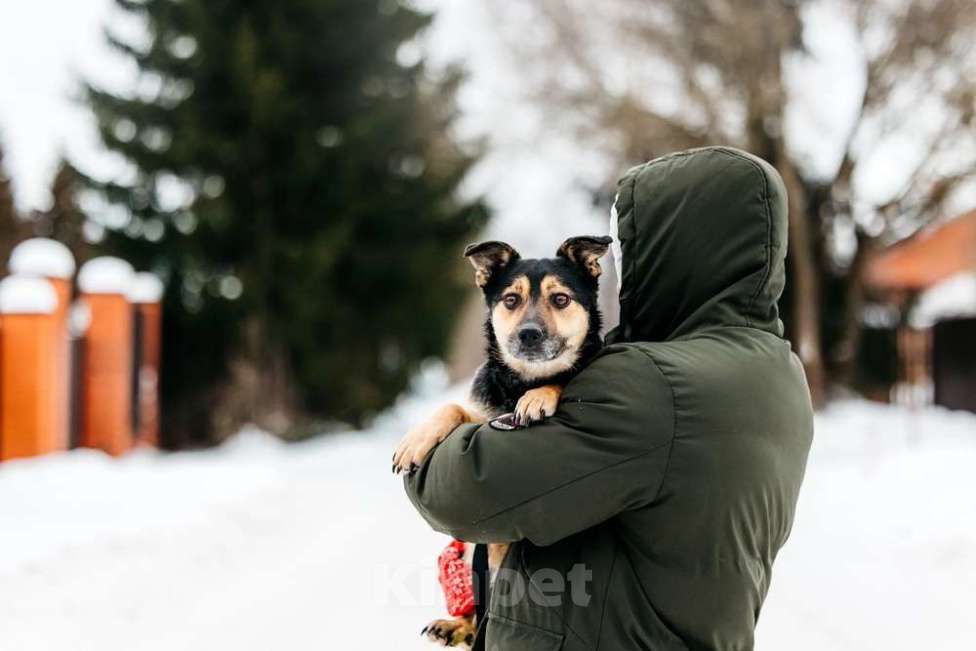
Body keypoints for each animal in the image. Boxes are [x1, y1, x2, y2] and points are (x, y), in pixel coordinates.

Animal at [390, 237, 608, 648]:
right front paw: (415, 440)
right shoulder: (481, 415)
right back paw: (456, 626)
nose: (528, 334)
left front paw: (539, 397)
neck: (519, 383)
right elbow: (452, 407)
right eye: (510, 299)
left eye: (560, 299)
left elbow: (561, 378)